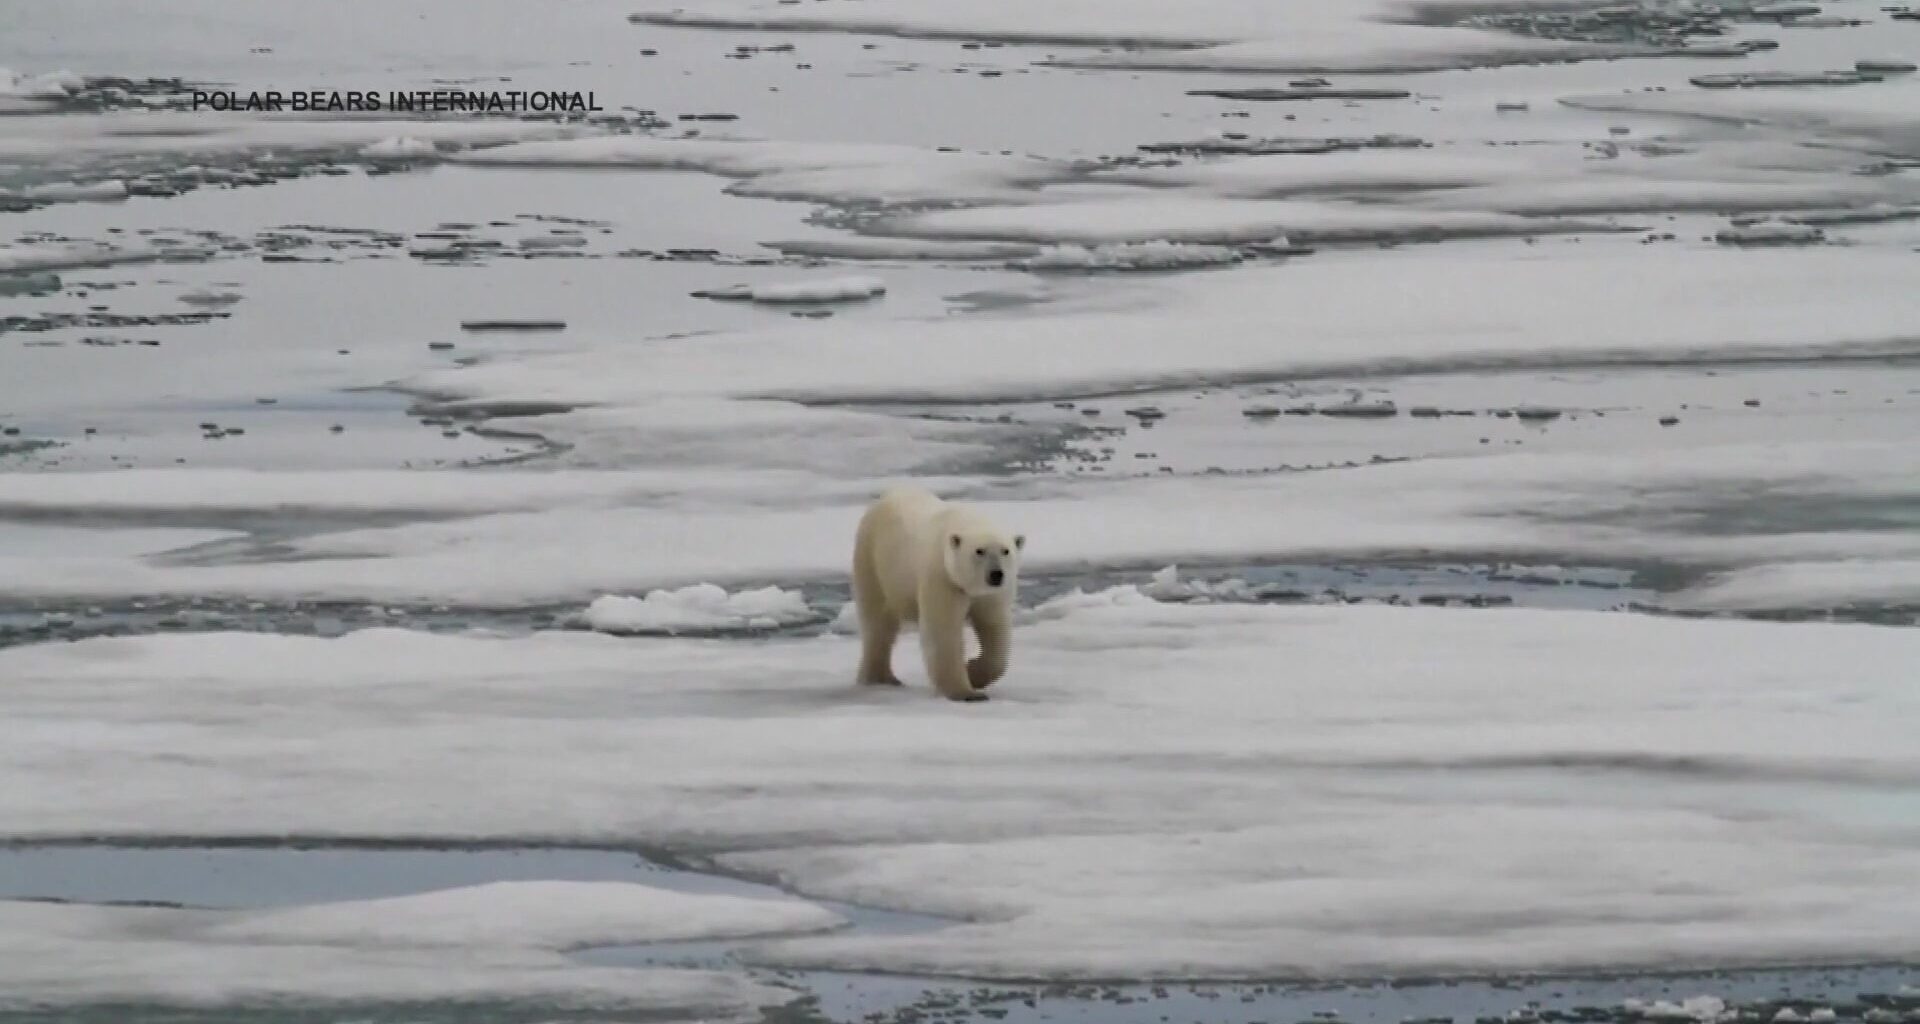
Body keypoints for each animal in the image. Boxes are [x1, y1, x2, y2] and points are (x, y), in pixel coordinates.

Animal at [851, 487, 1024, 703]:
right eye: (979, 551)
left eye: (1005, 551)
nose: (996, 574)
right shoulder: (942, 578)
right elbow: (943, 631)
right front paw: (966, 692)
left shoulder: (992, 595)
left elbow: (994, 627)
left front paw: (973, 672)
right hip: (874, 563)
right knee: (878, 623)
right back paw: (879, 678)